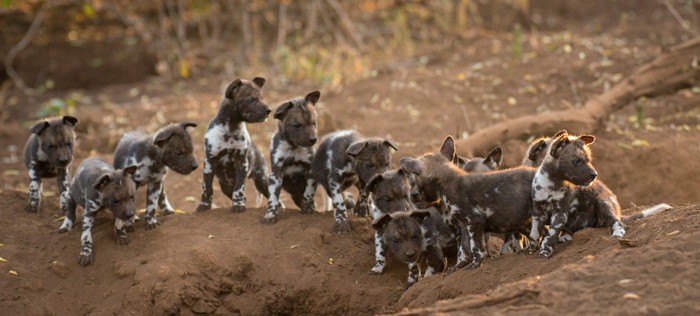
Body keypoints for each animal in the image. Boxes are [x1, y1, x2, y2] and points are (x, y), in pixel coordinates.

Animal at [200, 78, 274, 214]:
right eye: (251, 99)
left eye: (262, 98)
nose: (269, 110)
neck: (231, 130)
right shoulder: (209, 163)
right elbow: (207, 188)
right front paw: (204, 206)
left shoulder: (242, 163)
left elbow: (239, 190)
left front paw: (238, 206)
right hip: (225, 186)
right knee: (243, 196)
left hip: (261, 180)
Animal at [262, 90, 322, 225]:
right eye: (296, 125)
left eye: (314, 123)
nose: (313, 139)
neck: (294, 147)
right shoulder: (276, 174)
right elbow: (273, 198)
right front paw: (270, 215)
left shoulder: (310, 170)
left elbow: (309, 192)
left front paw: (308, 208)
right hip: (294, 196)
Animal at [400, 136, 536, 270]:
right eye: (411, 183)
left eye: (417, 180)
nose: (414, 195)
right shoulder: (463, 227)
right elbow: (465, 250)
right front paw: (460, 266)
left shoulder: (474, 222)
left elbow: (475, 248)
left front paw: (475, 264)